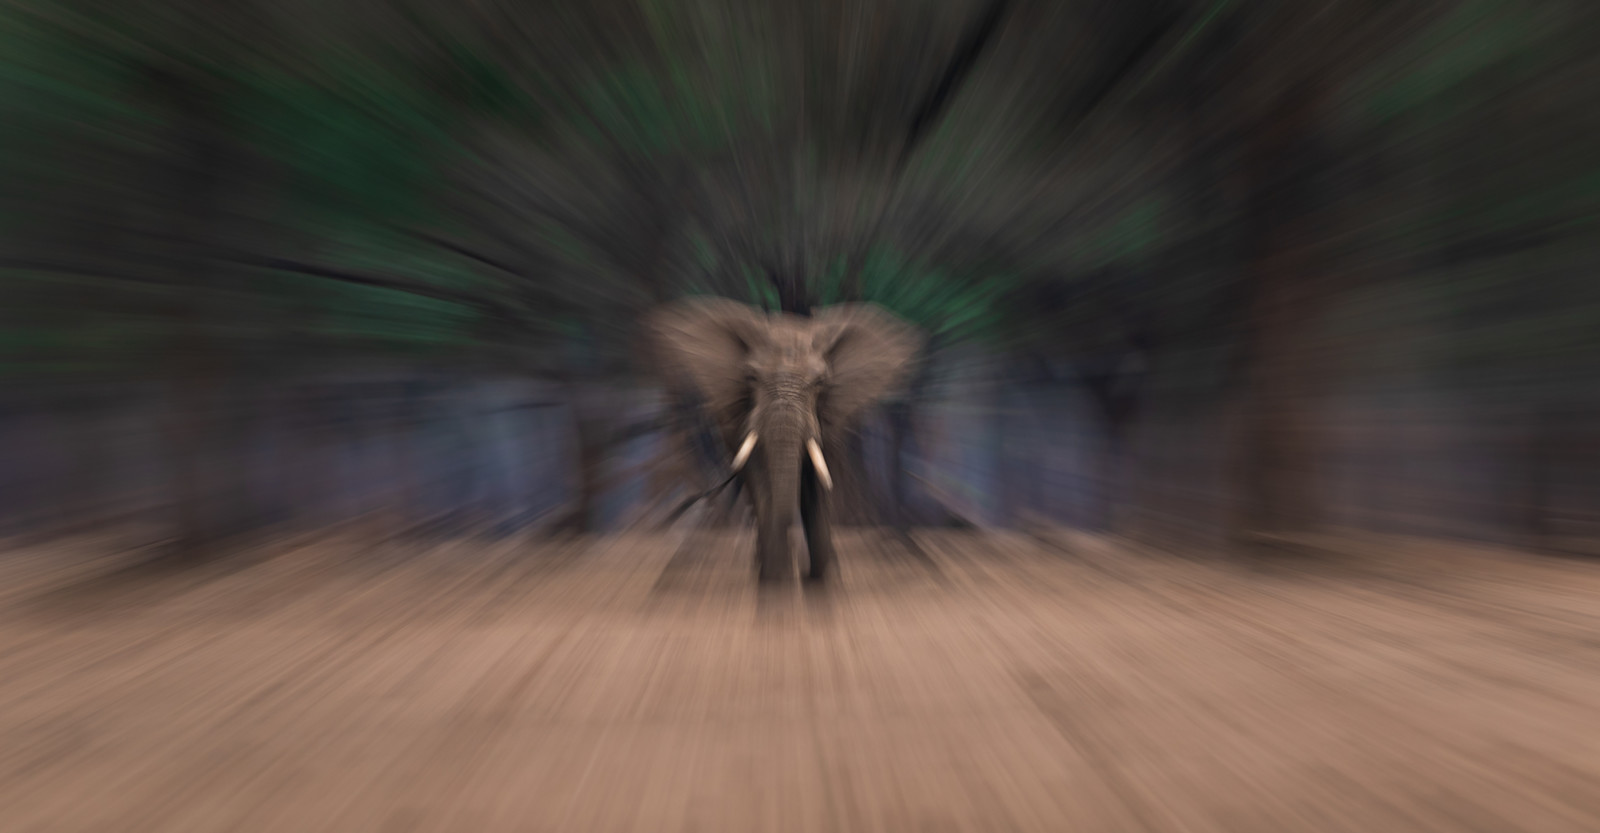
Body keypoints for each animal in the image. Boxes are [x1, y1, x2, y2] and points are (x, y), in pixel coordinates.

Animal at [646, 297, 923, 582]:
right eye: (752, 377)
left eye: (820, 382)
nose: (802, 570)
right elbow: (760, 476)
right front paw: (776, 578)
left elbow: (818, 480)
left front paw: (821, 579)